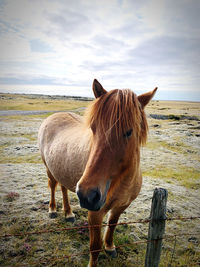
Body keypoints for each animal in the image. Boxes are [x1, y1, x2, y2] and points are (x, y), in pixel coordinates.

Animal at [38, 80, 158, 267]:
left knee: (63, 188)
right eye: (93, 128)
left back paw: (69, 213)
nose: (87, 195)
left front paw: (110, 247)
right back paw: (52, 210)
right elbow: (94, 246)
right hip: (49, 169)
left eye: (129, 131)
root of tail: (53, 116)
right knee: (52, 185)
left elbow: (112, 225)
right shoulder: (95, 214)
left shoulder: (121, 206)